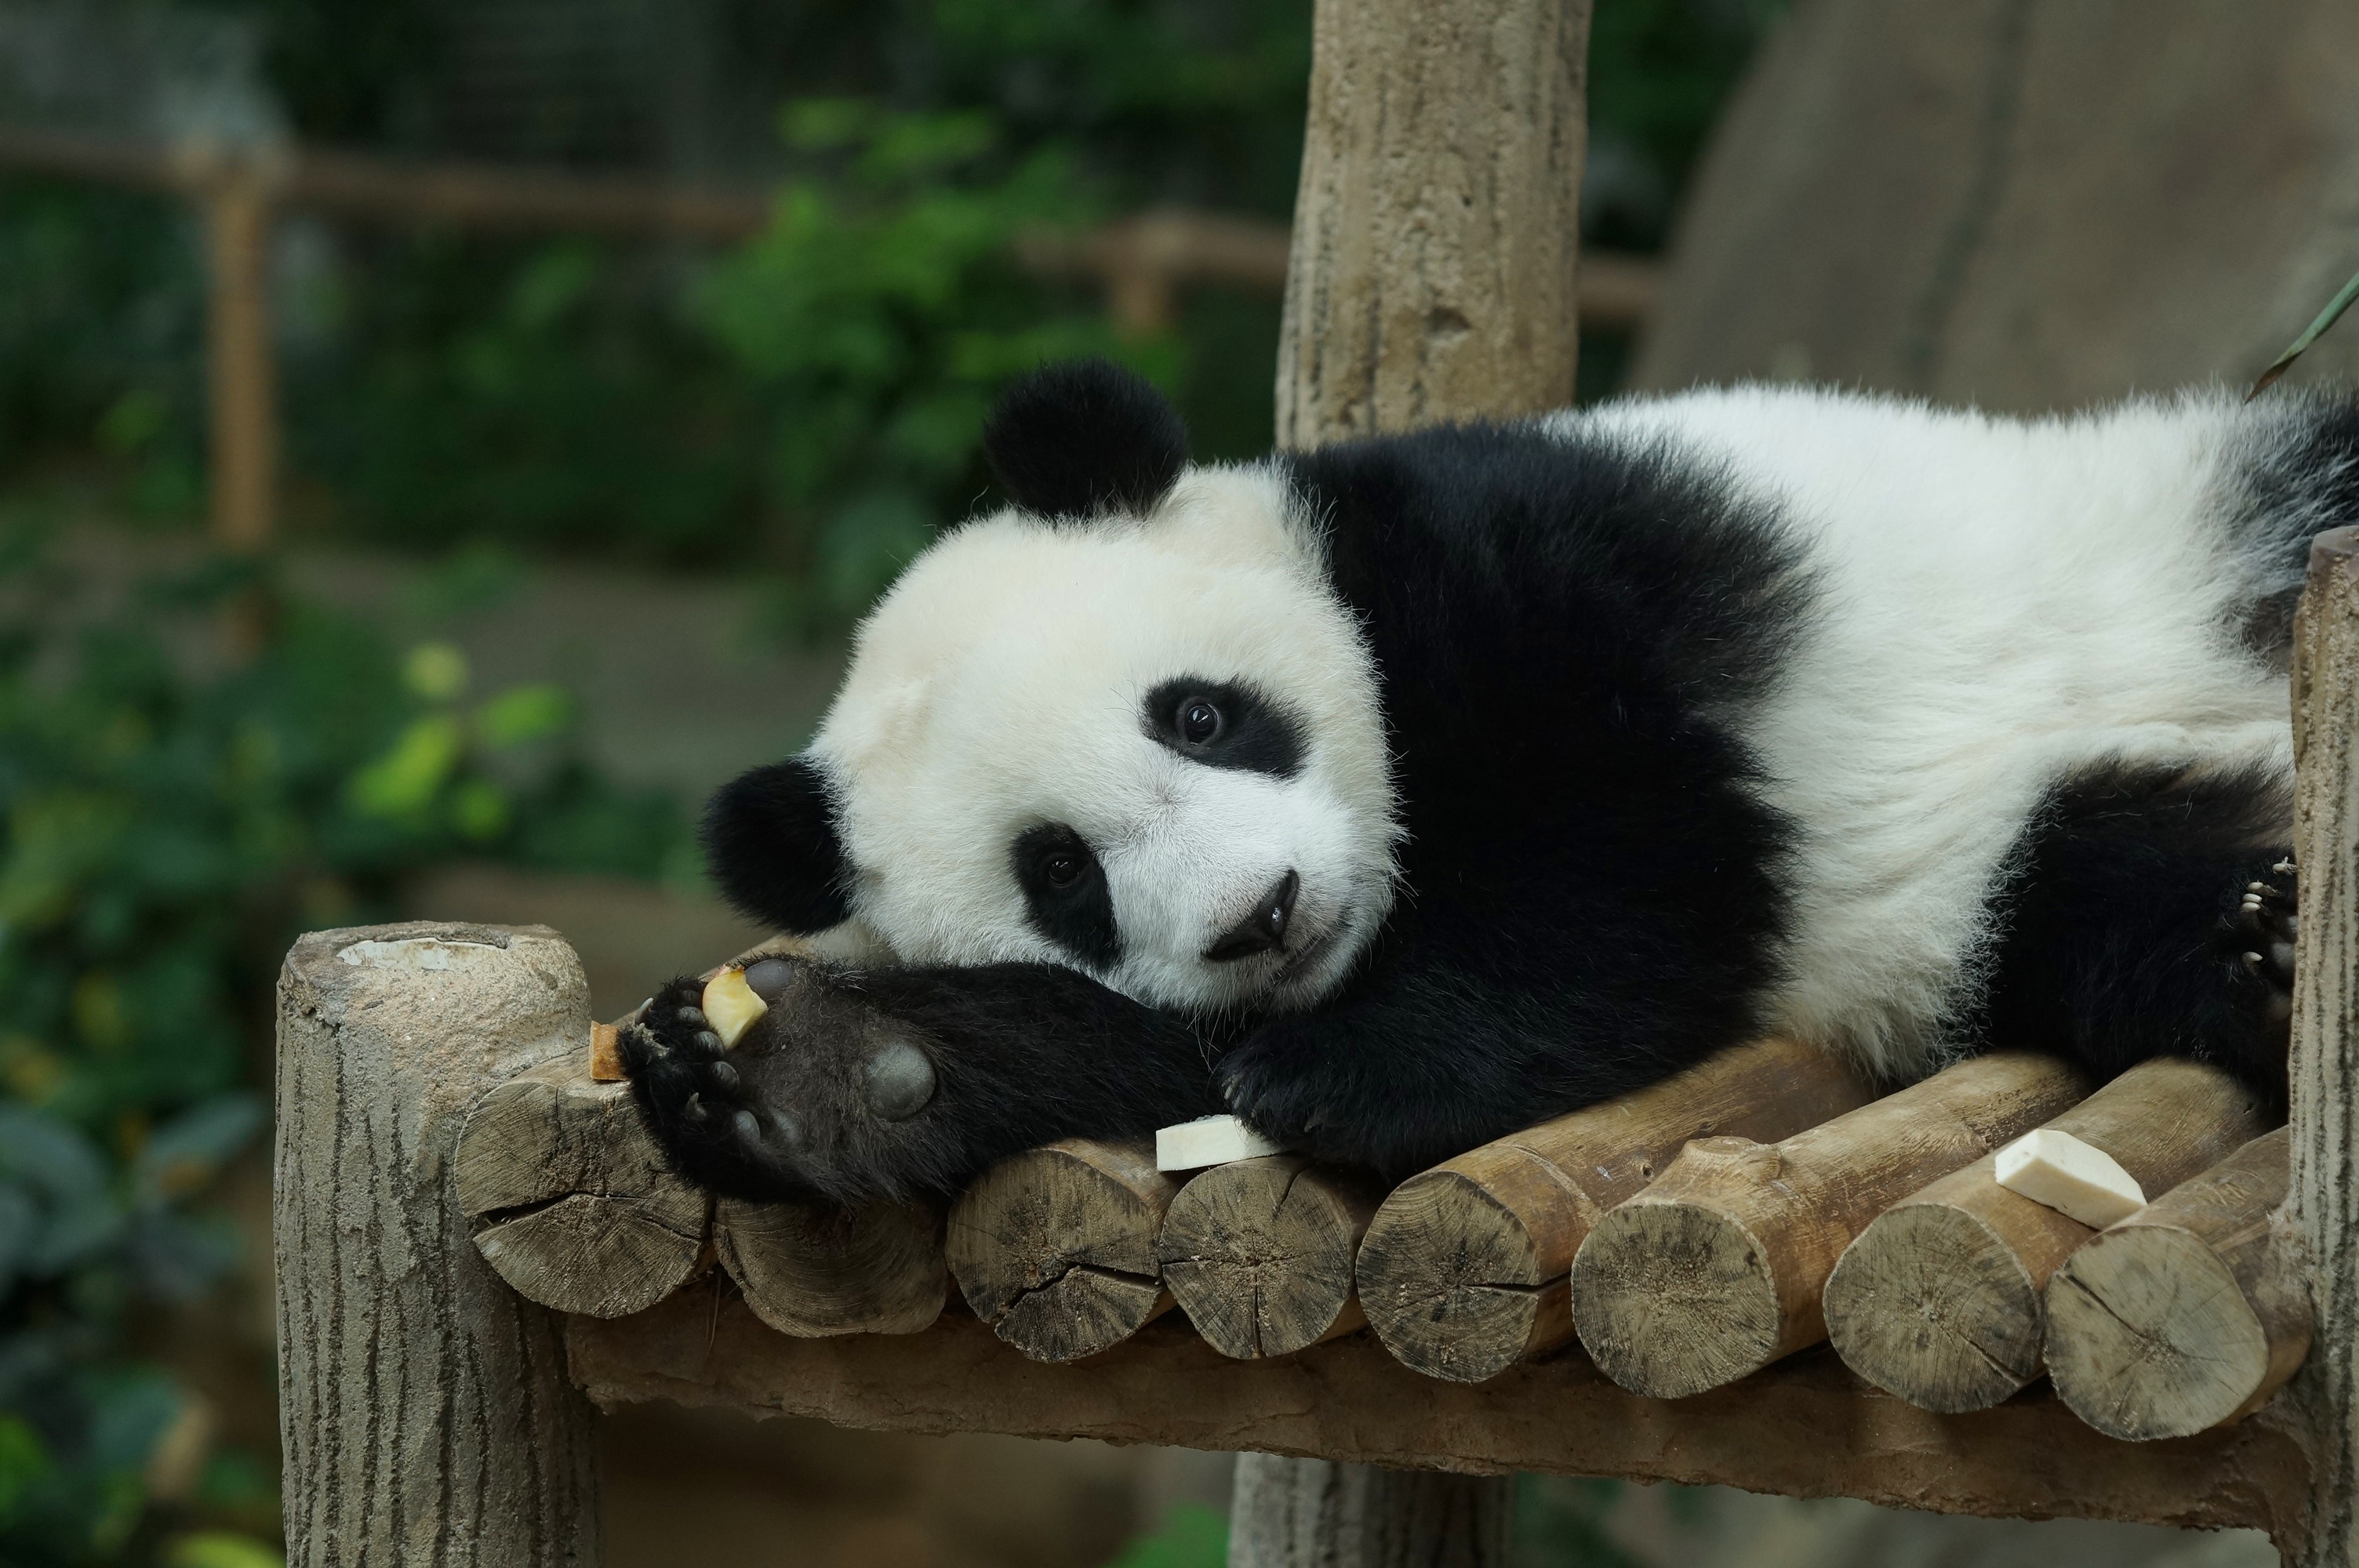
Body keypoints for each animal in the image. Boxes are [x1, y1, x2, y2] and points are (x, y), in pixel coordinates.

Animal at [618, 361, 2311, 1202]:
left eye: (1200, 716)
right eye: (1061, 876)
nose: (1261, 914)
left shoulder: (1515, 563)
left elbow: (1634, 863)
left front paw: (1360, 1070)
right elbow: (1158, 1071)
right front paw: (802, 1078)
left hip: (2210, 507)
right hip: (2023, 862)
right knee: (2109, 894)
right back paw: (2266, 944)